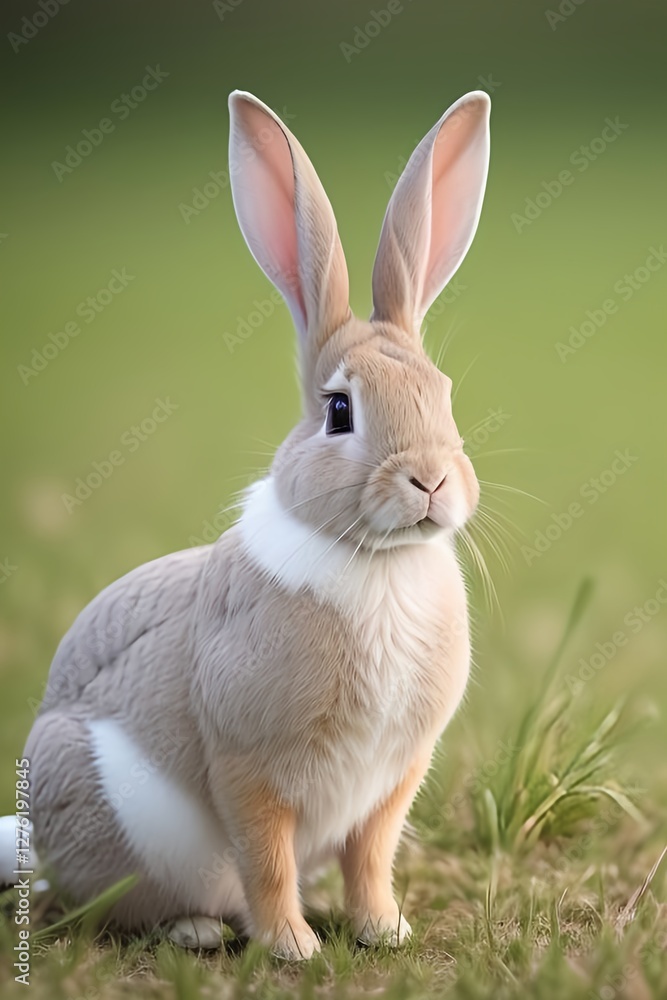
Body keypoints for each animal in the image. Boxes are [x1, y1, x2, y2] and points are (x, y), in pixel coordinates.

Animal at [2, 89, 491, 960]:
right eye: (339, 412)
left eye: (443, 394)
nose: (431, 480)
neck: (375, 558)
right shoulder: (247, 764)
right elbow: (264, 860)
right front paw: (292, 946)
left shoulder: (392, 778)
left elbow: (371, 859)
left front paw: (384, 931)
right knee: (124, 903)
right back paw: (196, 928)